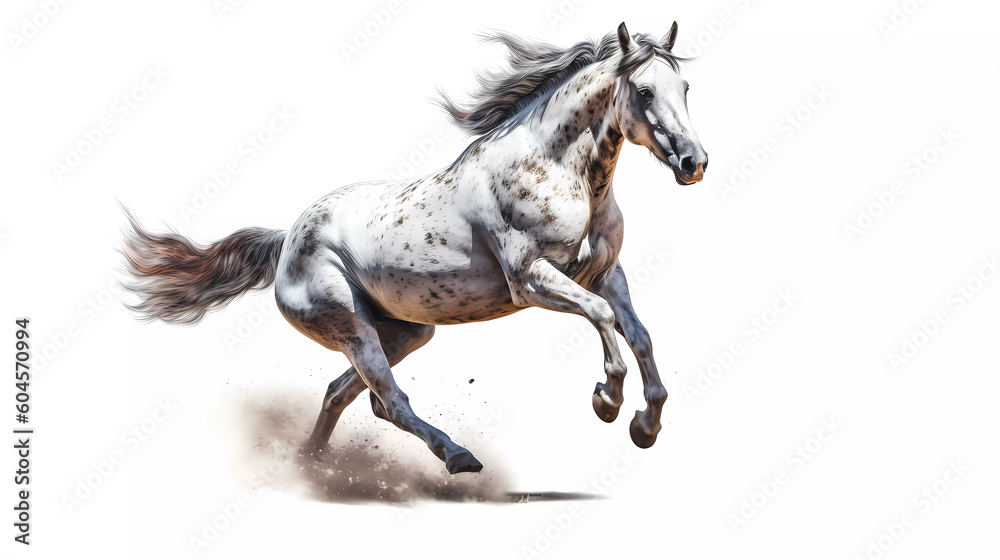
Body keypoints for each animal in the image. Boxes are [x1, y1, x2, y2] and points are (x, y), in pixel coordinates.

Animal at [120, 22, 708, 474]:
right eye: (645, 92)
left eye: (684, 87)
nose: (694, 163)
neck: (560, 172)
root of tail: (286, 240)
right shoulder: (531, 279)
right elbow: (602, 317)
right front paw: (607, 401)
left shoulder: (606, 272)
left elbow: (638, 333)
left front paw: (645, 425)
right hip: (352, 329)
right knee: (391, 401)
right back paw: (457, 457)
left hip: (406, 331)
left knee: (348, 395)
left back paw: (312, 465)